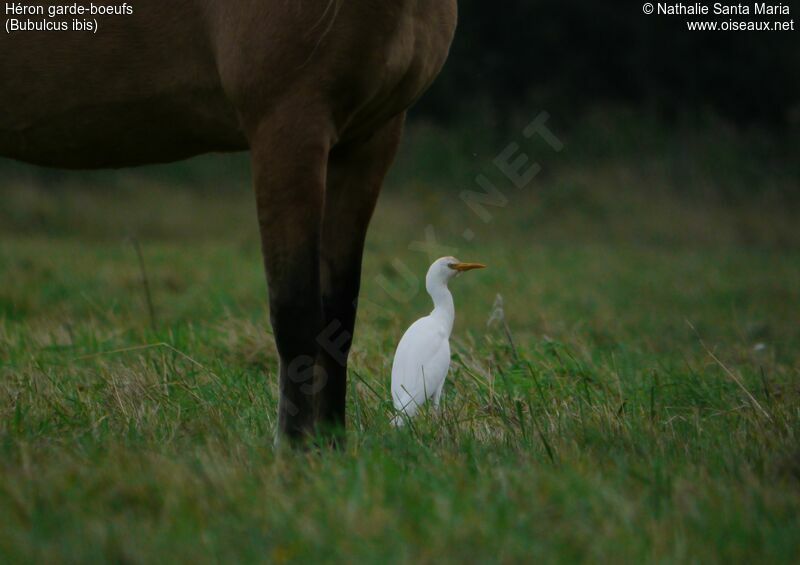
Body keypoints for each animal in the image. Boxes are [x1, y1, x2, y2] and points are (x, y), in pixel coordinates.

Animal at [1, 1, 456, 446]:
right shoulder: (289, 122)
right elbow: (295, 308)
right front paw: (296, 451)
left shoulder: (370, 138)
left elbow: (339, 314)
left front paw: (332, 444)